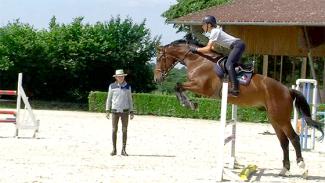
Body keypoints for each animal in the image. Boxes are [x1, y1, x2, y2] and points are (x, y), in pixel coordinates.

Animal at [153, 39, 322, 178]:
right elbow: (178, 87)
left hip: (282, 118)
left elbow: (178, 85)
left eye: (160, 58)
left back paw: (303, 168)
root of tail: (287, 90)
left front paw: (188, 103)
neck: (199, 61)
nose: (156, 78)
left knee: (294, 138)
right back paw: (284, 170)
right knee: (284, 142)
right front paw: (189, 103)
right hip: (274, 119)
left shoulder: (201, 87)